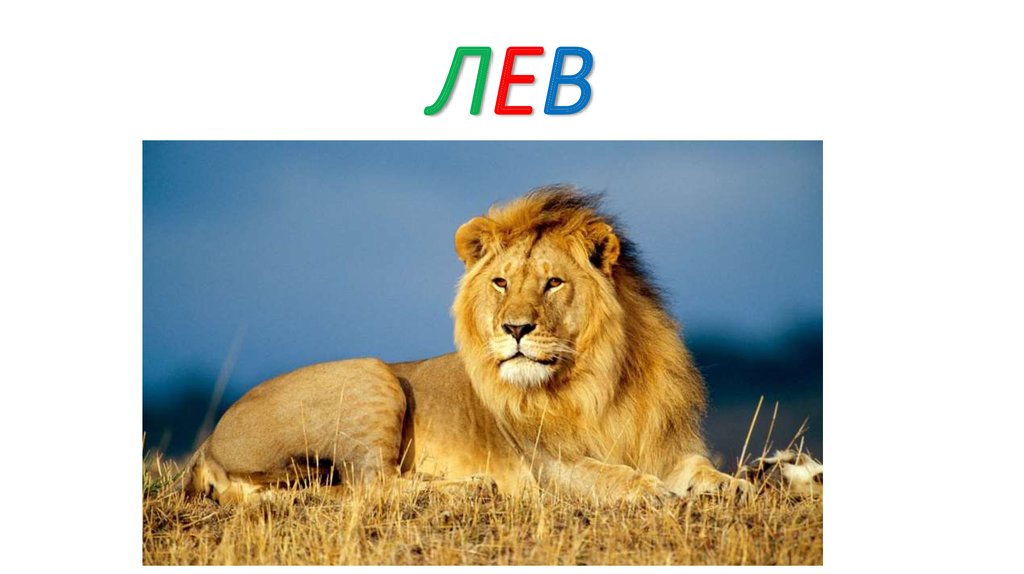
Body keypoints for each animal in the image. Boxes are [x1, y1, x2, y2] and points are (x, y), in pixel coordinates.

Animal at [186, 186, 750, 503]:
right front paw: (650, 490)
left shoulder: (666, 442)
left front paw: (731, 484)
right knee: (370, 486)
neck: (599, 380)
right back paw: (472, 488)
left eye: (553, 283)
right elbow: (609, 476)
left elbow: (698, 468)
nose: (515, 329)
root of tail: (207, 446)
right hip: (372, 375)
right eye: (500, 283)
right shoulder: (548, 466)